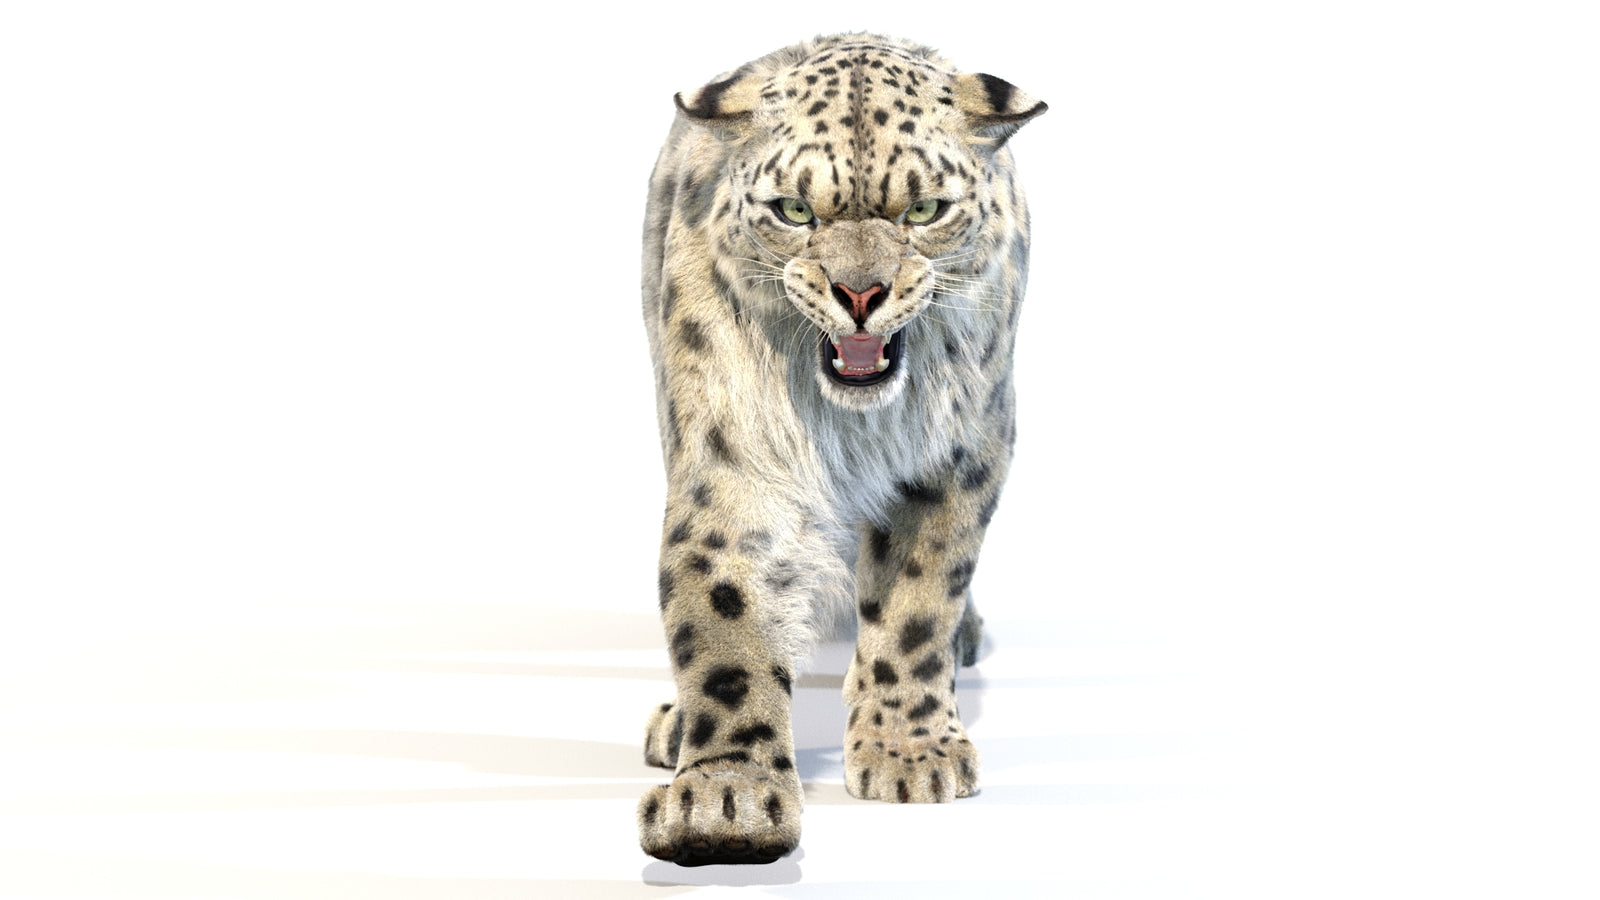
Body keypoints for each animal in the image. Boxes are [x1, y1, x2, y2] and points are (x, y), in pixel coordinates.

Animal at [636, 33, 1045, 866]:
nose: (860, 294)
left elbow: (917, 603)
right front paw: (724, 800)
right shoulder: (735, 464)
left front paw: (909, 753)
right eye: (794, 210)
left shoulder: (955, 456)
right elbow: (726, 623)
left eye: (924, 209)